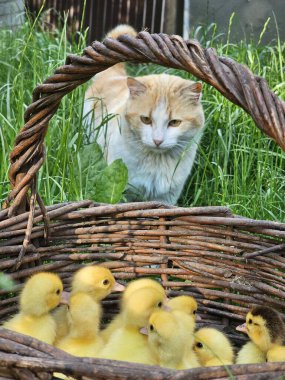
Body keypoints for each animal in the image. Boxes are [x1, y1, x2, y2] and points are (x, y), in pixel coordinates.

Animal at [82, 24, 204, 205]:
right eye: (145, 119)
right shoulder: (125, 192)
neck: (157, 163)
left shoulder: (166, 199)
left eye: (174, 122)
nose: (157, 141)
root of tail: (115, 75)